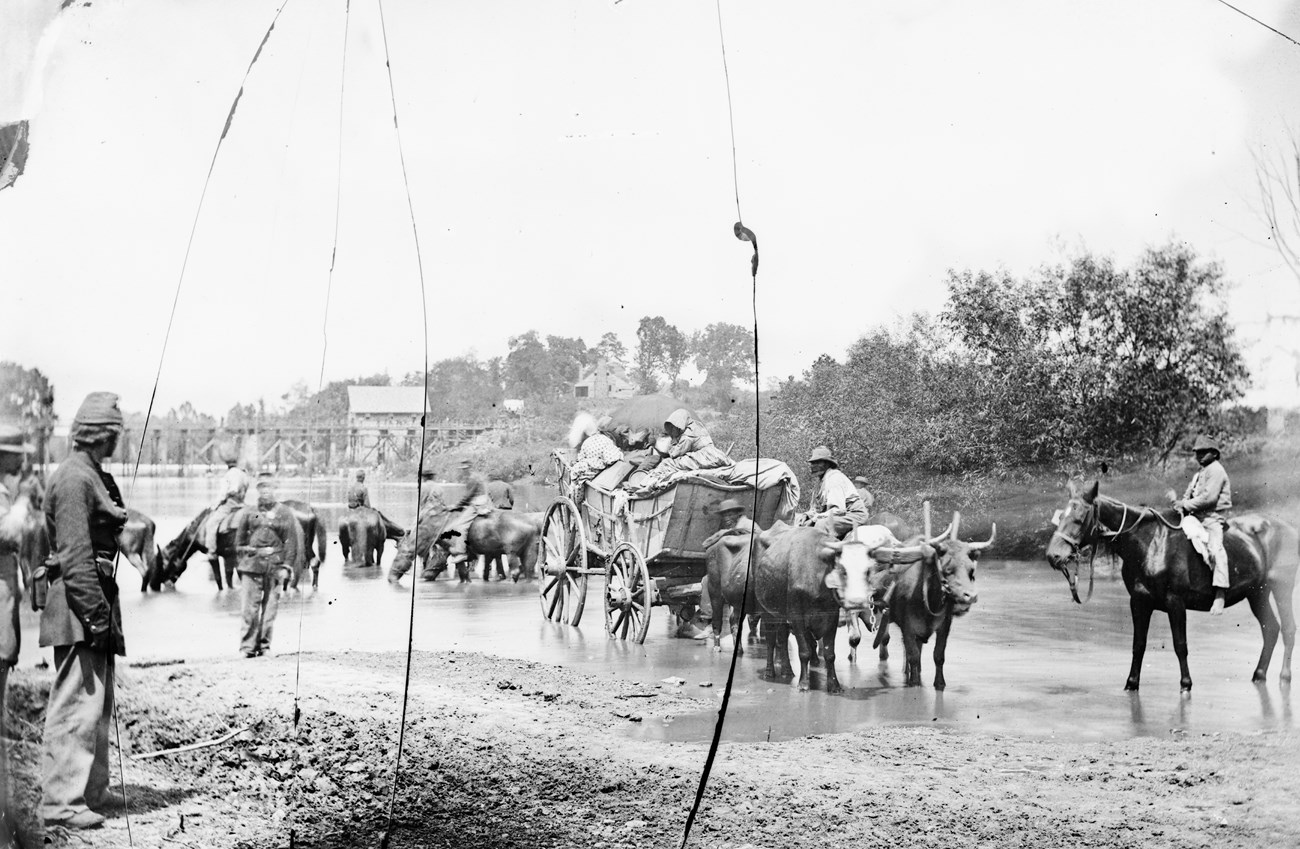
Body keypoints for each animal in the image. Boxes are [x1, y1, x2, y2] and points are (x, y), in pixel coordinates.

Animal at [160, 499, 330, 585]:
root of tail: (310, 508)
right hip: (307, 546)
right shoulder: (230, 556)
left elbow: (221, 578)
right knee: (313, 563)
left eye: (163, 561)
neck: (199, 527)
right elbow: (230, 577)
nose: (161, 582)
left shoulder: (217, 555)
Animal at [1045, 475, 1300, 686]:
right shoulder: (1139, 602)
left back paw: (1285, 676)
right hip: (1258, 593)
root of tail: (1289, 529)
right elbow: (1138, 645)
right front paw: (1131, 684)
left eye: (1079, 519)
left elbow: (1180, 645)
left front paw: (1186, 684)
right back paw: (1259, 675)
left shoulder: (1175, 602)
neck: (1149, 542)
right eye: (1061, 516)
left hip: (1282, 590)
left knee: (1287, 629)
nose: (1053, 555)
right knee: (1271, 629)